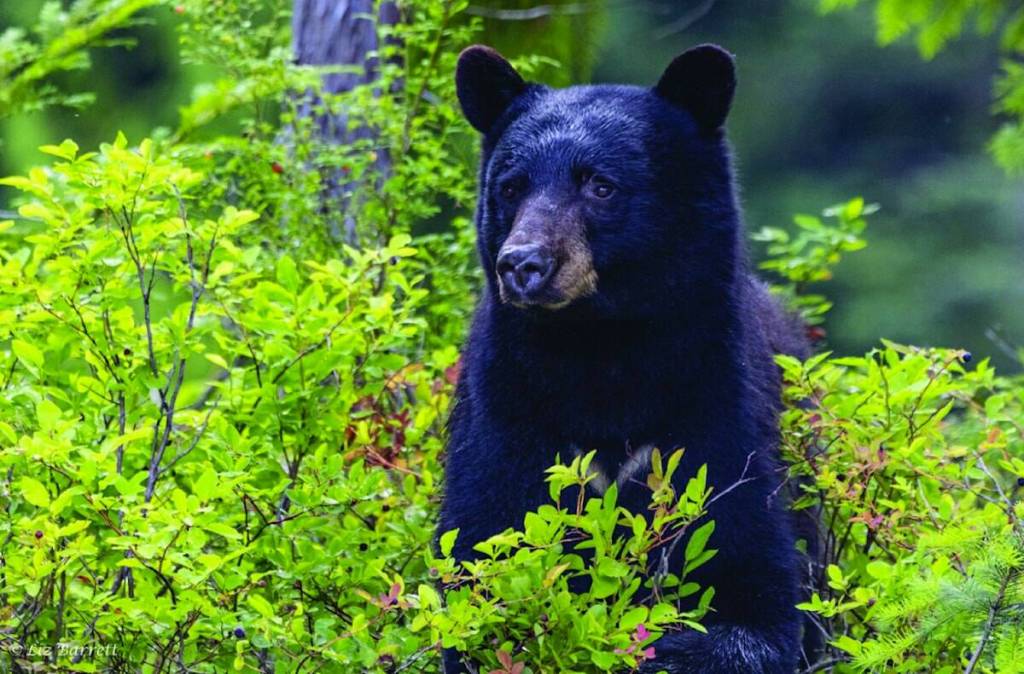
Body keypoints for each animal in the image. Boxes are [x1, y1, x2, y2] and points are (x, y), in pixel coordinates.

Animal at [439, 43, 811, 674]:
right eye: (511, 187)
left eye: (601, 186)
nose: (523, 264)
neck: (602, 350)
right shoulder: (504, 410)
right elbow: (483, 559)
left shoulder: (718, 404)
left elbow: (758, 596)